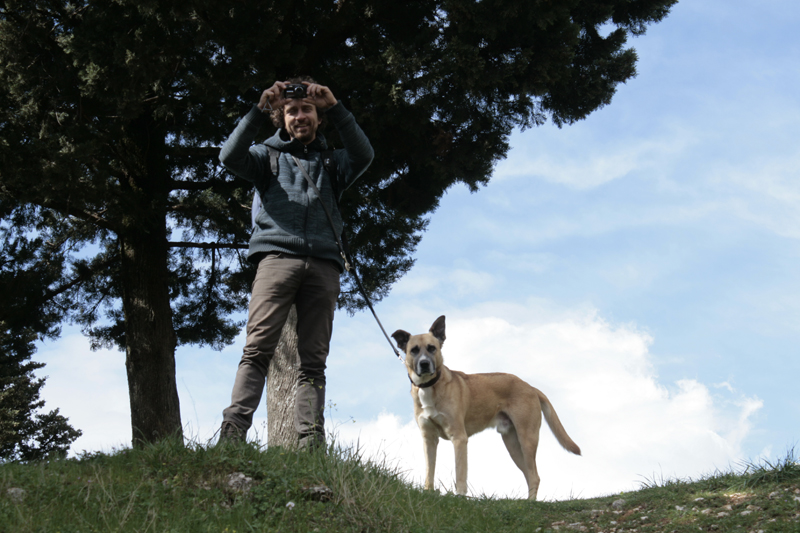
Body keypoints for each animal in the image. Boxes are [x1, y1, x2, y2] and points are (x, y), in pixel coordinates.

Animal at [391, 315, 581, 500]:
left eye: (432, 348)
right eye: (414, 350)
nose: (424, 364)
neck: (430, 386)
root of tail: (530, 387)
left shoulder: (459, 438)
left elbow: (460, 472)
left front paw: (460, 497)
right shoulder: (429, 439)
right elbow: (429, 470)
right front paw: (428, 492)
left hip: (527, 438)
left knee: (535, 476)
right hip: (513, 444)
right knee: (529, 474)